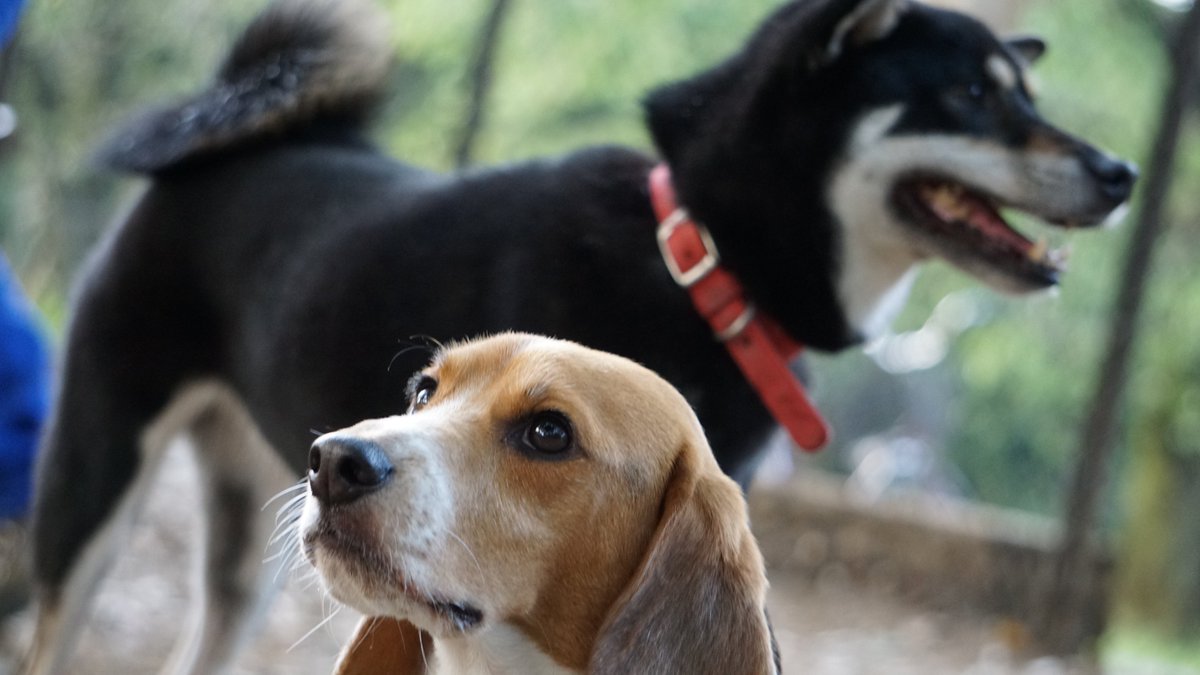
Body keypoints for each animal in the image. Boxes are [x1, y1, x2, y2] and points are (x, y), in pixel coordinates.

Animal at [25, 0, 1132, 667]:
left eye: (1017, 93)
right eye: (975, 95)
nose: (1120, 172)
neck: (699, 256)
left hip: (238, 548)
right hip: (93, 485)